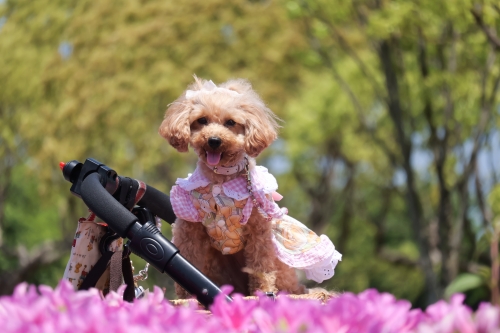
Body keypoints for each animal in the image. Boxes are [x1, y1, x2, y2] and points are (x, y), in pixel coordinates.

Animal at [159, 77, 340, 296]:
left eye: (230, 122)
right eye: (202, 120)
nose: (213, 140)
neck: (221, 178)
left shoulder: (258, 229)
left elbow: (260, 265)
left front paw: (262, 292)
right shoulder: (189, 225)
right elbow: (187, 259)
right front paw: (186, 296)